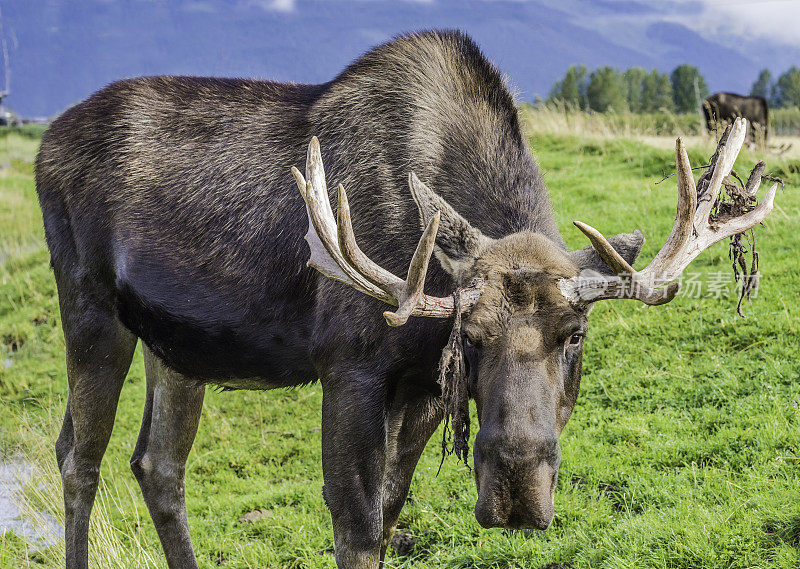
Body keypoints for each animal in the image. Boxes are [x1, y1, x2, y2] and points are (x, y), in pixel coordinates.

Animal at [34, 32, 780, 568]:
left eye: (577, 333)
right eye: (470, 337)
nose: (516, 489)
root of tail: (44, 145)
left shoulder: (421, 386)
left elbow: (393, 515)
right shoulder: (350, 366)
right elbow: (357, 527)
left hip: (179, 345)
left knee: (158, 464)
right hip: (90, 306)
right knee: (78, 456)